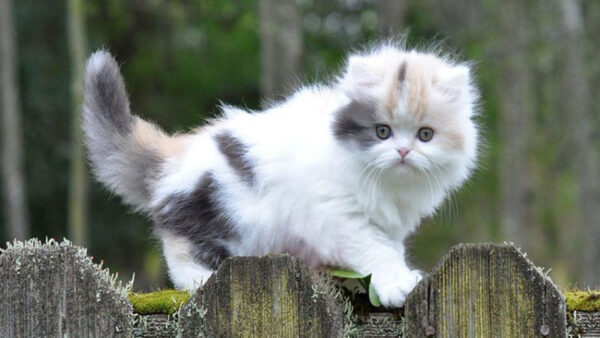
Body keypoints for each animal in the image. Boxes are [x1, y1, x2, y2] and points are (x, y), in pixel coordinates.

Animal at [83, 43, 478, 308]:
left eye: (425, 135)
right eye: (382, 132)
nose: (403, 152)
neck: (389, 185)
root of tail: (176, 152)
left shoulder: (389, 223)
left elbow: (388, 246)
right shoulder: (338, 214)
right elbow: (373, 248)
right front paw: (396, 284)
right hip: (219, 213)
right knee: (182, 254)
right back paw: (201, 280)